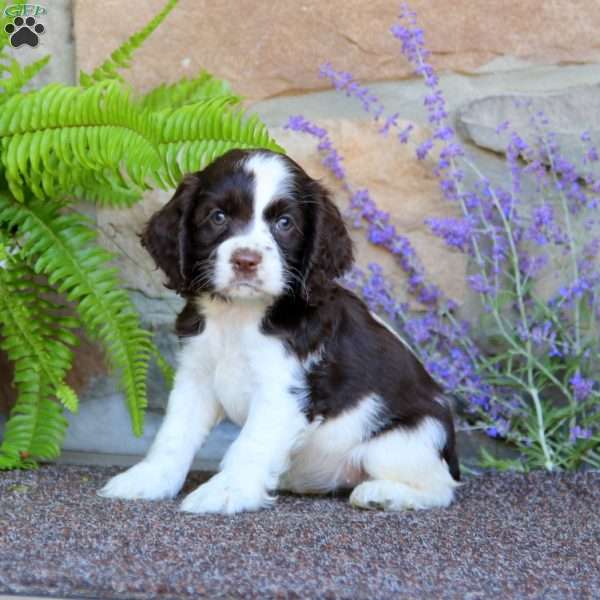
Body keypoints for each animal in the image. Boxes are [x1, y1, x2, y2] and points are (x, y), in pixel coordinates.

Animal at [97, 148, 460, 512]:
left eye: (285, 223)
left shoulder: (283, 390)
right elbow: (174, 433)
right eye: (217, 217)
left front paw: (226, 490)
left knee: (442, 487)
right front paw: (149, 478)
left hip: (399, 442)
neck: (239, 315)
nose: (246, 260)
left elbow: (251, 443)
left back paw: (383, 494)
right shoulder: (195, 377)